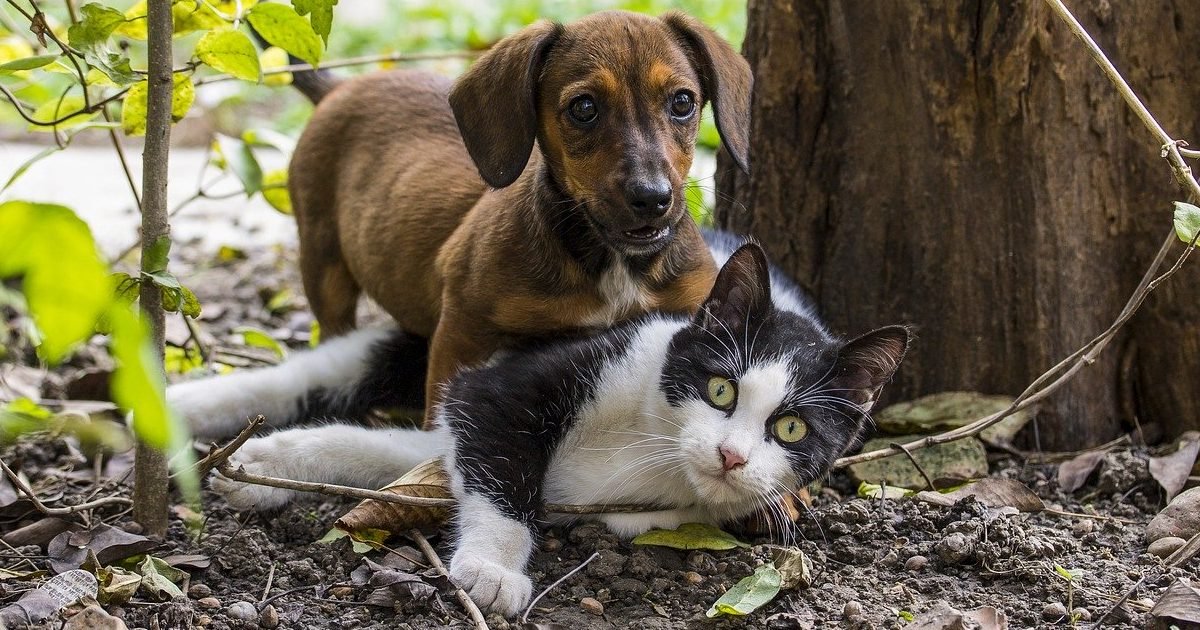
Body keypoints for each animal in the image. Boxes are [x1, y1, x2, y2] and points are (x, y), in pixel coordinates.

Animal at [164, 232, 902, 612]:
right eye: (720, 388)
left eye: (792, 429)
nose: (731, 456)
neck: (654, 443)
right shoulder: (515, 382)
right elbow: (498, 464)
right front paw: (493, 570)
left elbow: (405, 453)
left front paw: (267, 465)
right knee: (322, 370)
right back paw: (176, 408)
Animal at [288, 9, 748, 420]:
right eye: (584, 108)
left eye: (683, 102)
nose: (652, 198)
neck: (611, 264)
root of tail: (338, 88)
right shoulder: (462, 329)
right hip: (324, 265)